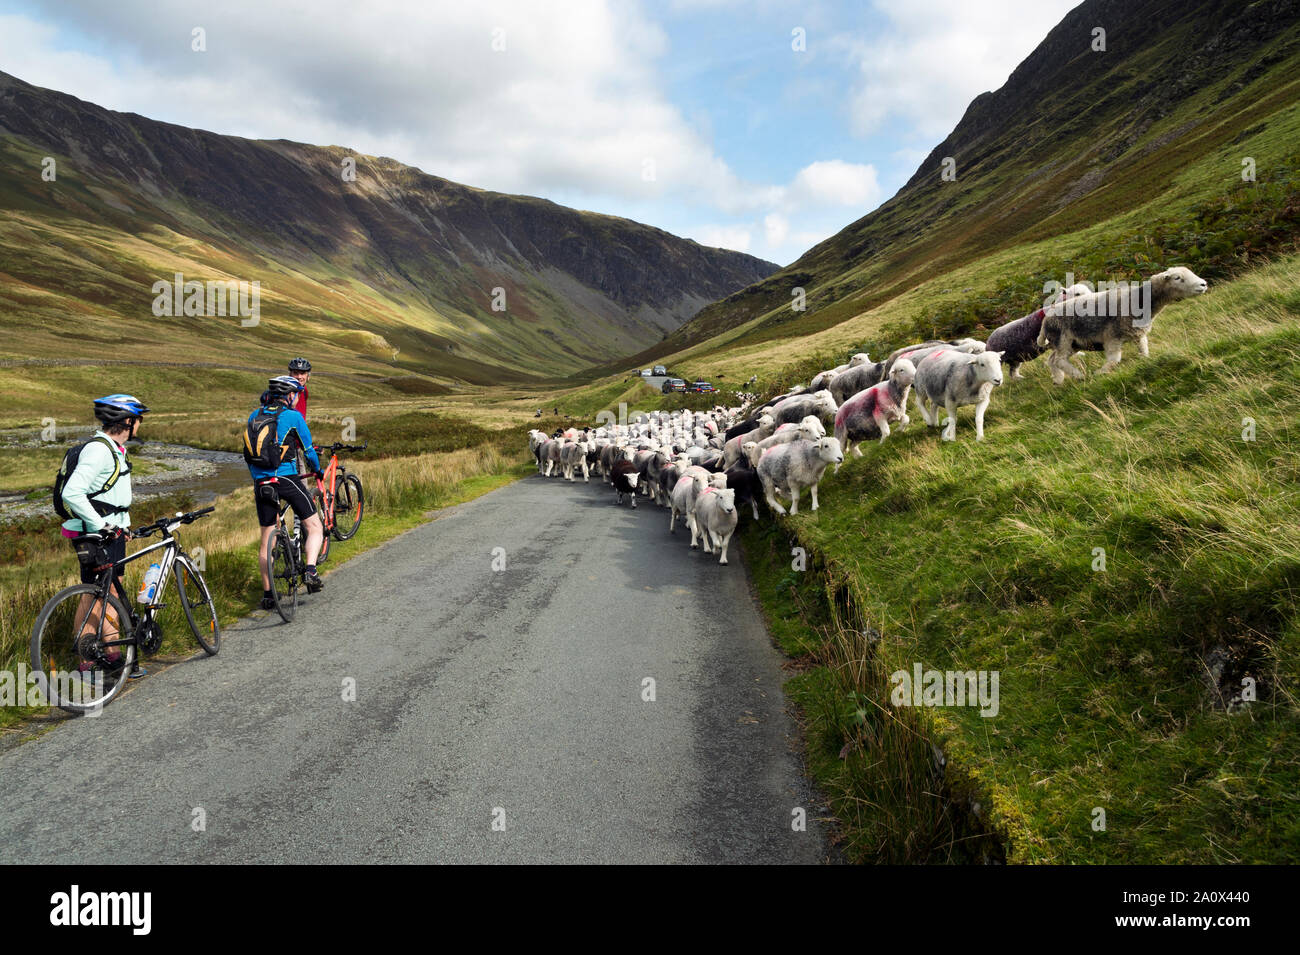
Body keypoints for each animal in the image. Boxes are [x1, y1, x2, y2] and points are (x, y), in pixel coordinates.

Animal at [1034, 265, 1206, 384]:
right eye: (1177, 278)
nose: (1203, 284)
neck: (1138, 300)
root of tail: (1045, 321)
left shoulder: (1138, 334)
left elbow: (1144, 351)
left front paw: (1145, 362)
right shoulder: (1112, 336)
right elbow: (1114, 360)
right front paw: (1100, 373)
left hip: (1072, 343)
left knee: (1052, 360)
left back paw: (1059, 380)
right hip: (1062, 338)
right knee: (1059, 360)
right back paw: (1079, 375)